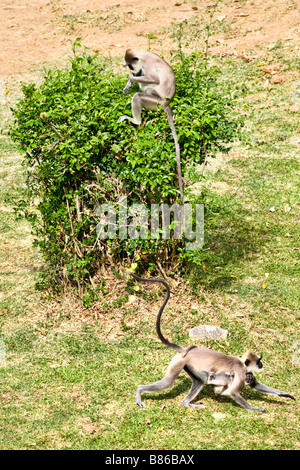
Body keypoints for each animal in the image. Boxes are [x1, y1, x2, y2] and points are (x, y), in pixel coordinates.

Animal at [118, 48, 184, 205]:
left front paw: (131, 78)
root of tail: (167, 102)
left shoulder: (146, 65)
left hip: (155, 101)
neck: (143, 55)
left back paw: (136, 121)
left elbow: (154, 79)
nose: (125, 66)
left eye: (130, 65)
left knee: (138, 94)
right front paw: (128, 83)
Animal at [131, 274, 296, 414]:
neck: (242, 363)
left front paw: (284, 394)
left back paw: (188, 403)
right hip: (179, 362)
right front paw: (254, 409)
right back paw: (140, 390)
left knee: (199, 381)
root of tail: (186, 350)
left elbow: (255, 385)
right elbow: (233, 392)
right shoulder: (241, 371)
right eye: (259, 361)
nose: (261, 365)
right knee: (168, 383)